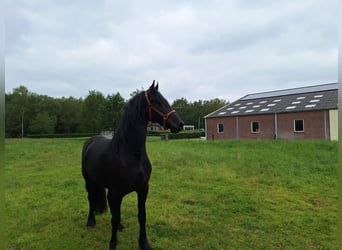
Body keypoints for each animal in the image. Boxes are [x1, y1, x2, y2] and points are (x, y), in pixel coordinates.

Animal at [82, 81, 184, 249]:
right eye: (156, 102)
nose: (180, 124)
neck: (131, 155)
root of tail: (90, 141)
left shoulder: (143, 189)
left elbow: (141, 216)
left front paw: (144, 243)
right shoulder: (117, 192)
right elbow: (114, 218)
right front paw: (113, 244)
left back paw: (120, 226)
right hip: (89, 181)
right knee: (91, 198)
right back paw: (91, 221)